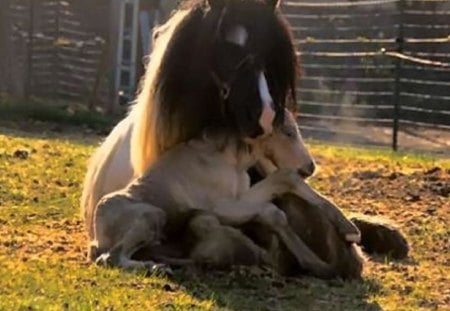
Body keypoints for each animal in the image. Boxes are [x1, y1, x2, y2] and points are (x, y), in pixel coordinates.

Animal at [89, 110, 360, 280]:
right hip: (152, 215)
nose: (310, 167)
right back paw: (154, 267)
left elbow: (282, 191)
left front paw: (346, 231)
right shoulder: (221, 206)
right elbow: (280, 192)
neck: (230, 159)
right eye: (288, 132)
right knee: (110, 258)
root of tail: (95, 236)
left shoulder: (242, 196)